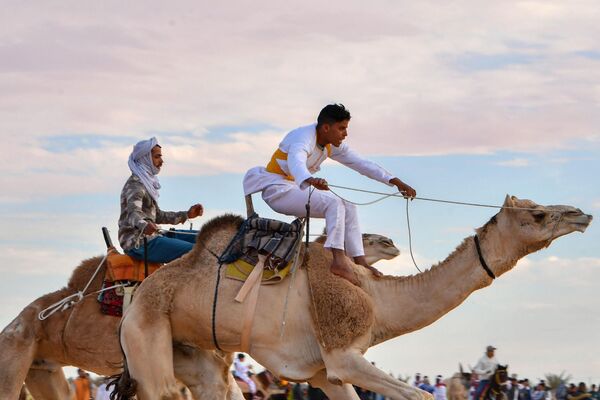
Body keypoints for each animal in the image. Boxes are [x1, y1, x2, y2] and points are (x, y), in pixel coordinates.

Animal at [111, 196, 592, 400]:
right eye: (538, 215)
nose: (581, 214)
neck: (377, 297)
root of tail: (135, 296)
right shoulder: (343, 353)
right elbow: (421, 396)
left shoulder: (326, 372)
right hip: (145, 334)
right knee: (163, 390)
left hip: (195, 349)